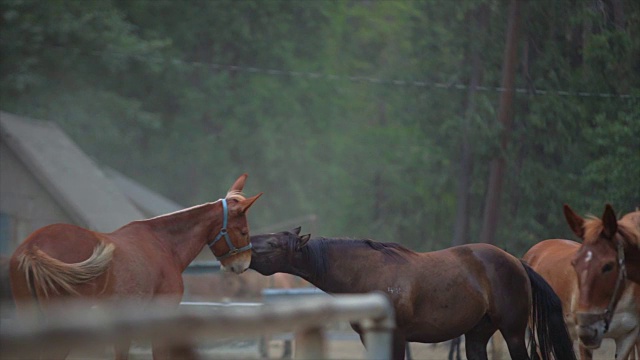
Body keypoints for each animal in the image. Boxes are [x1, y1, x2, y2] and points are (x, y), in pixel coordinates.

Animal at [249, 228, 576, 360]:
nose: (246, 243)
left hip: (513, 332)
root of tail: (517, 262)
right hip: (477, 335)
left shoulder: (396, 336)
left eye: (274, 244)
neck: (366, 272)